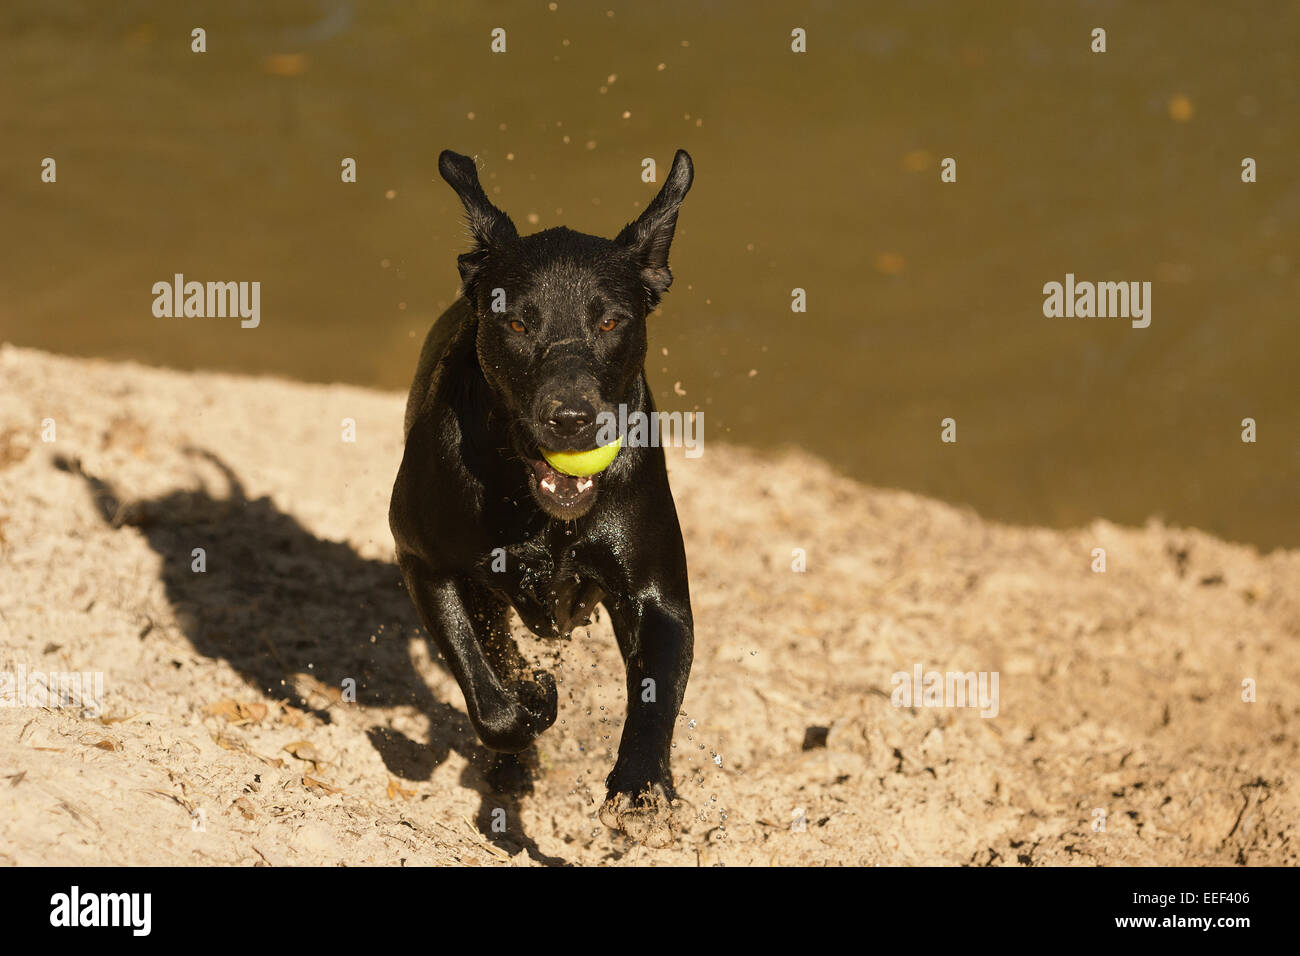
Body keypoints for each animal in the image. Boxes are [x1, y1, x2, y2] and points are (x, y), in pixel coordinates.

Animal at [390, 149, 696, 842]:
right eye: (516, 320)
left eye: (610, 320)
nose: (571, 420)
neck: (539, 514)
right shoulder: (425, 561)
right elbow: (490, 694)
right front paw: (533, 697)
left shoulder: (656, 593)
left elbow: (656, 693)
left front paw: (640, 784)